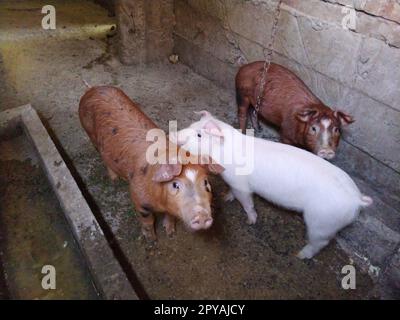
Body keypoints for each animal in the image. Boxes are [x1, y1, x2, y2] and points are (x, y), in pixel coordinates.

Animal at [78, 85, 222, 240]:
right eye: (175, 185)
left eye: (206, 183)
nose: (202, 216)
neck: (160, 203)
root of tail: (93, 89)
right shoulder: (138, 198)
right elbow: (148, 220)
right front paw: (152, 239)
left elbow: (170, 216)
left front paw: (171, 233)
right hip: (89, 132)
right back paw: (115, 179)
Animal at [170, 111, 374, 258]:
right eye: (191, 125)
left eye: (199, 134)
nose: (173, 135)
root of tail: (357, 199)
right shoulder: (233, 183)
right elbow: (233, 194)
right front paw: (227, 197)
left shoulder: (241, 183)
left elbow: (246, 201)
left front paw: (251, 220)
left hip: (322, 221)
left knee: (320, 242)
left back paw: (300, 255)